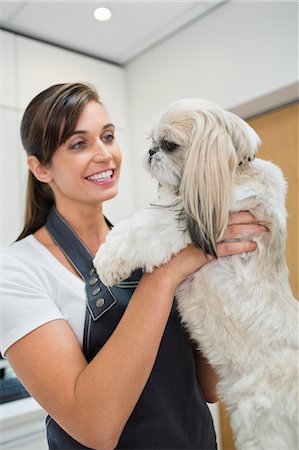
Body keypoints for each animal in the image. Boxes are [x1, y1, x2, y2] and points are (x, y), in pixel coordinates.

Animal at [93, 98, 298, 450]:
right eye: (152, 141)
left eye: (169, 145)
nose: (151, 152)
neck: (235, 169)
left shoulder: (191, 218)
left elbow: (141, 228)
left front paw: (106, 262)